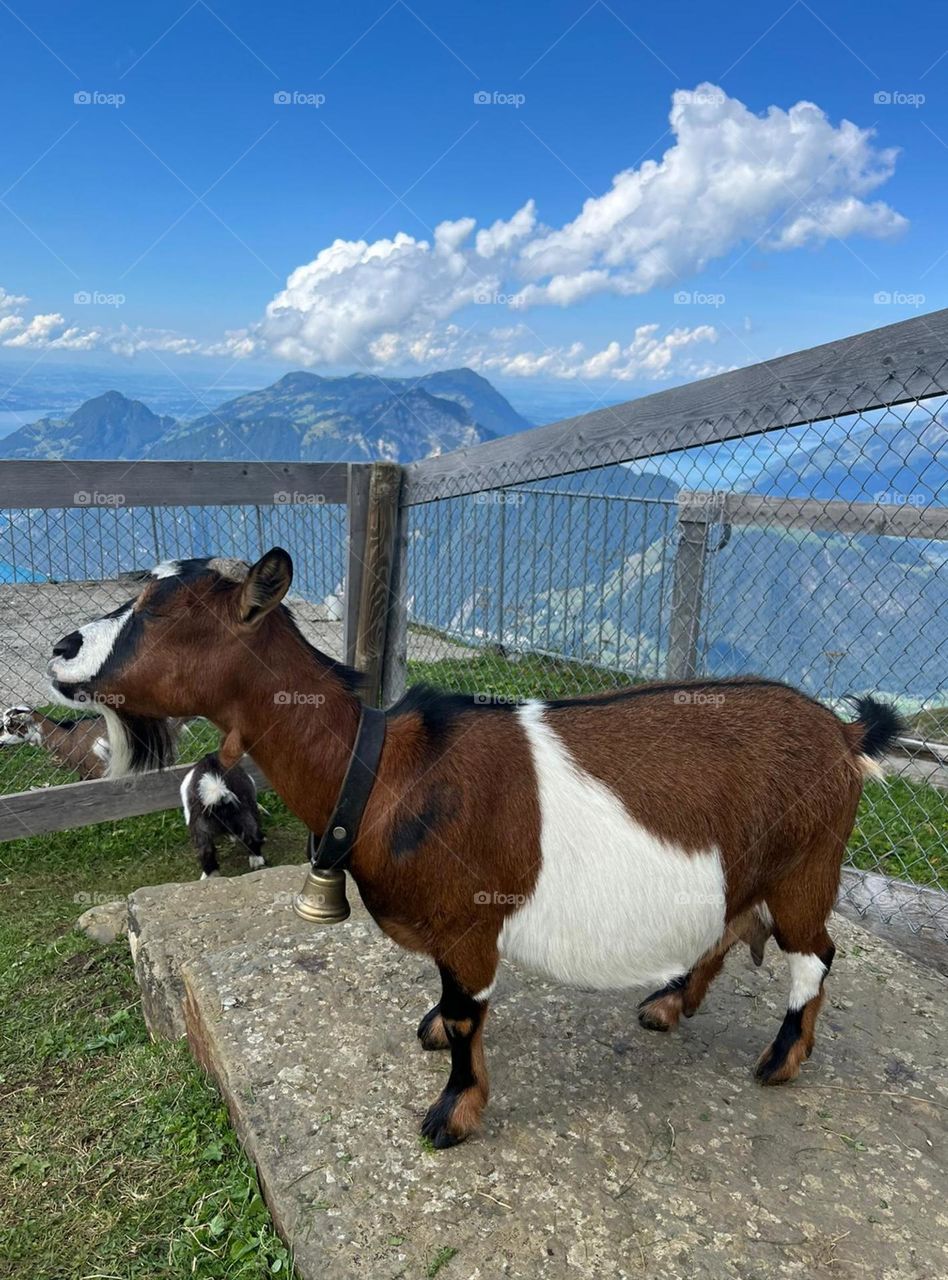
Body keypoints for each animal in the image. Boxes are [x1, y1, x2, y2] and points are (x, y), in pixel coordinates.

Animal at [48, 549, 903, 1149]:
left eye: (163, 610)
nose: (60, 649)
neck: (380, 768)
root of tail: (843, 733)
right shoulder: (445, 926)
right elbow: (448, 1005)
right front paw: (430, 1032)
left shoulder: (469, 923)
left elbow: (468, 1019)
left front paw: (451, 1115)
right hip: (747, 867)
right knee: (728, 925)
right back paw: (666, 1005)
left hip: (808, 864)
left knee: (815, 954)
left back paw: (780, 1060)